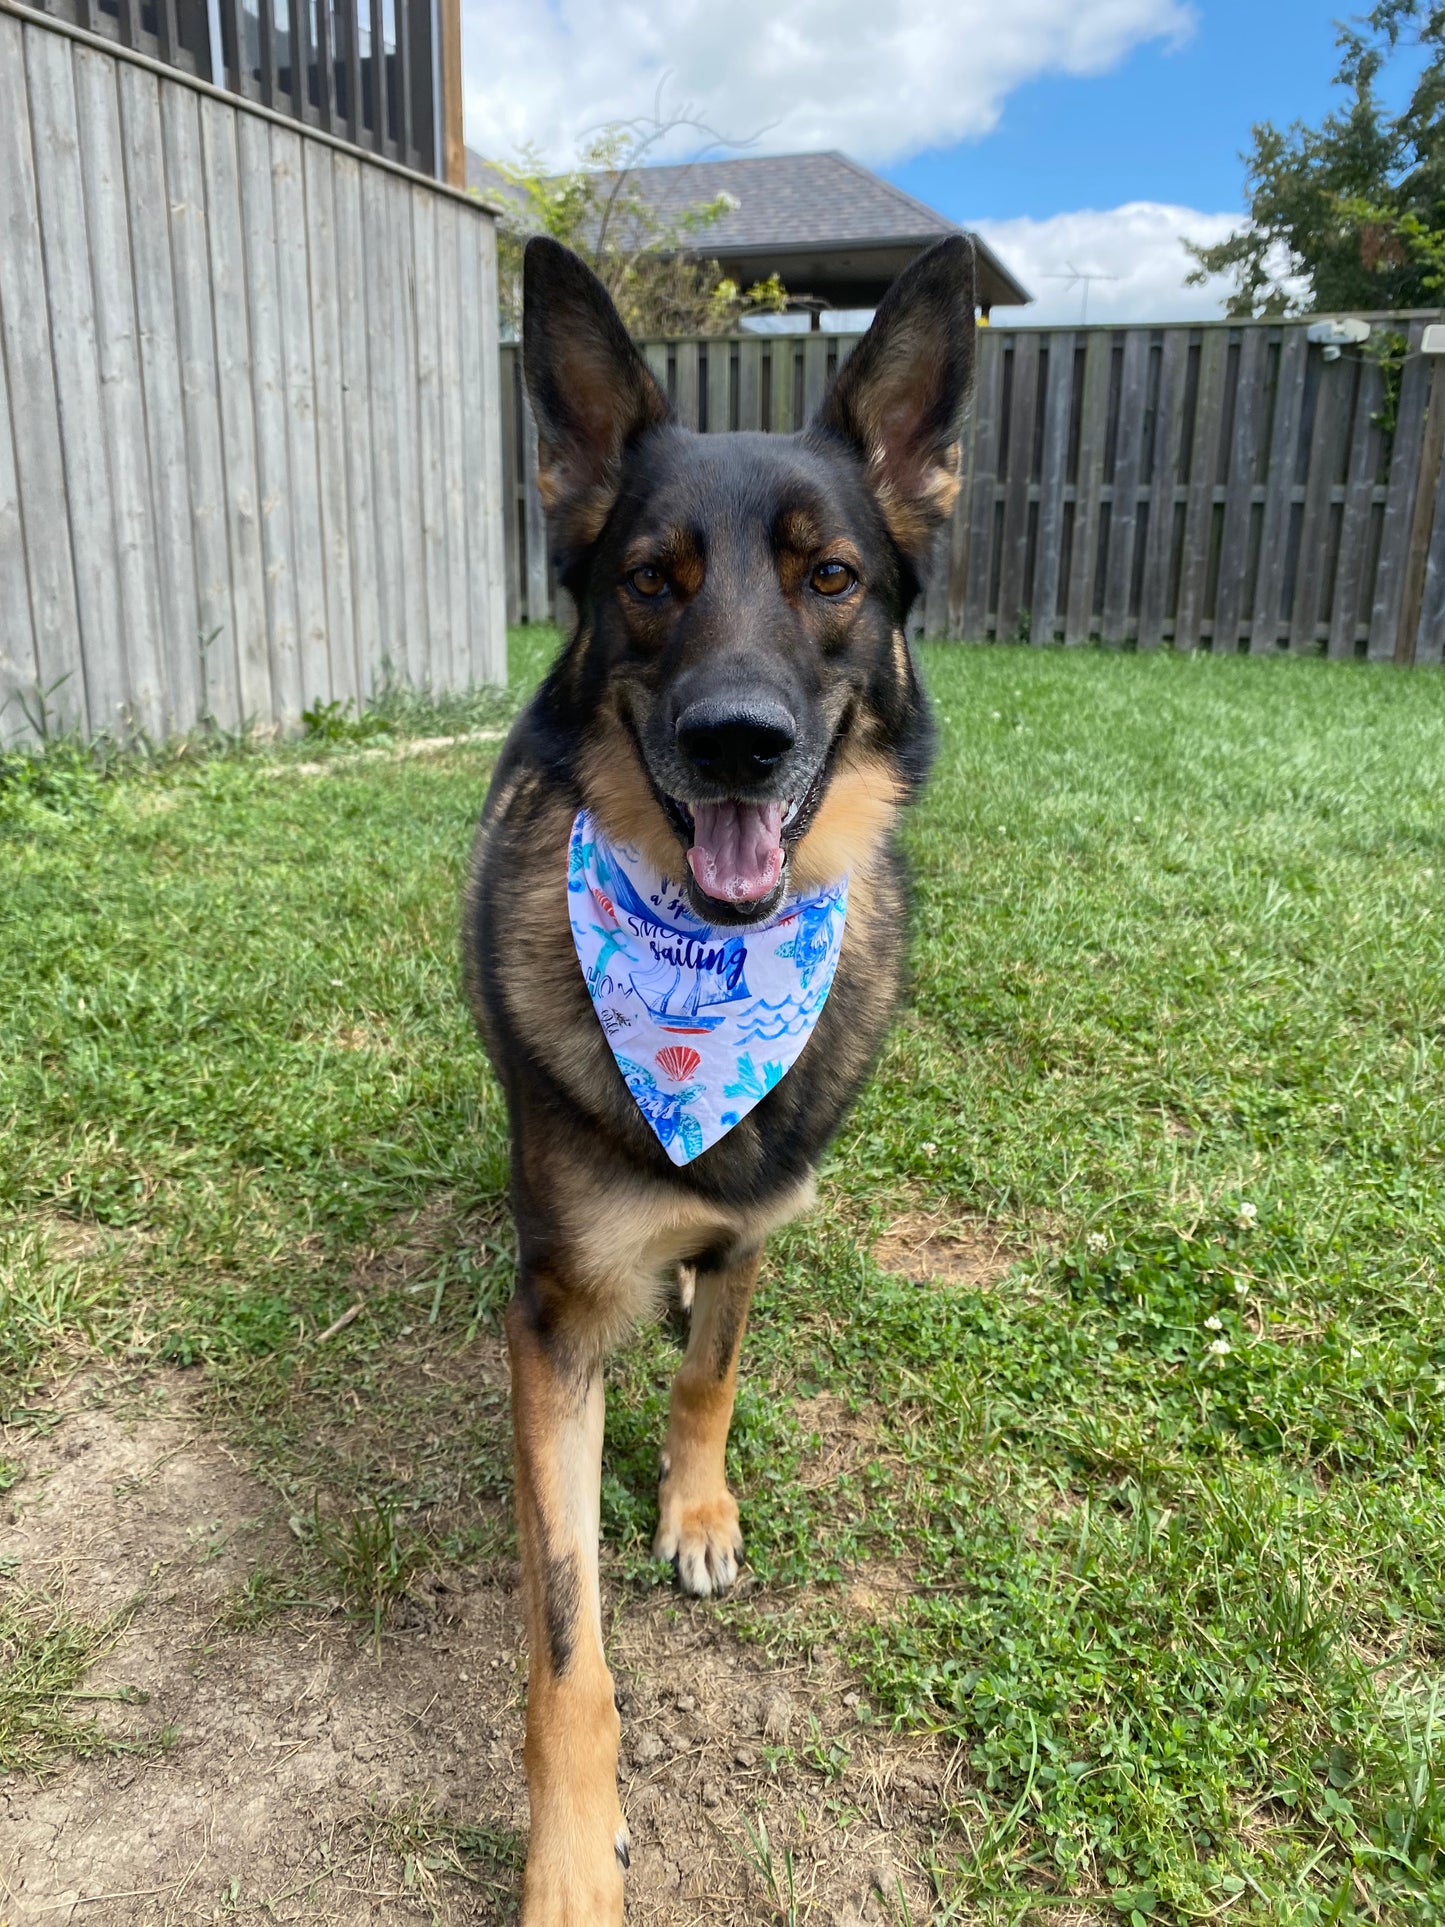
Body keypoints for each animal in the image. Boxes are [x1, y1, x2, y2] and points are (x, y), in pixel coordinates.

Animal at [466, 233, 974, 1919]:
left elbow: (711, 1371)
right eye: (650, 579)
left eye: (831, 578)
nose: (737, 741)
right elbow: (564, 1636)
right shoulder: (550, 1323)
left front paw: (696, 1507)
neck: (706, 979)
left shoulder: (757, 1219)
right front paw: (570, 1857)